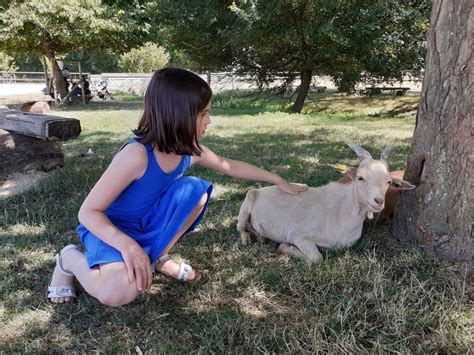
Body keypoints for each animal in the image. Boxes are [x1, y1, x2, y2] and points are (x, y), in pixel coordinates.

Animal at [236, 143, 414, 262]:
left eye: (389, 181)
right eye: (360, 177)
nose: (378, 201)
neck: (343, 211)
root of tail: (261, 190)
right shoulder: (298, 234)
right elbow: (316, 258)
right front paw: (285, 247)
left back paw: (260, 235)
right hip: (248, 201)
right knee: (240, 227)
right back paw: (248, 238)